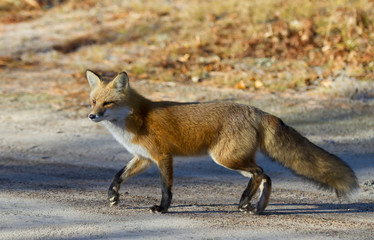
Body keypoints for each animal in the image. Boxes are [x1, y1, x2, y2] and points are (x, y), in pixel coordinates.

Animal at [85, 70, 360, 215]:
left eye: (108, 103)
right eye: (93, 101)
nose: (91, 116)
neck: (136, 118)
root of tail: (255, 110)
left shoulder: (163, 156)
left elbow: (166, 189)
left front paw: (162, 208)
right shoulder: (144, 158)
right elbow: (118, 175)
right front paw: (113, 195)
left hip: (226, 159)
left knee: (260, 173)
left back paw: (245, 202)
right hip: (234, 160)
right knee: (266, 177)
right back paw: (256, 207)